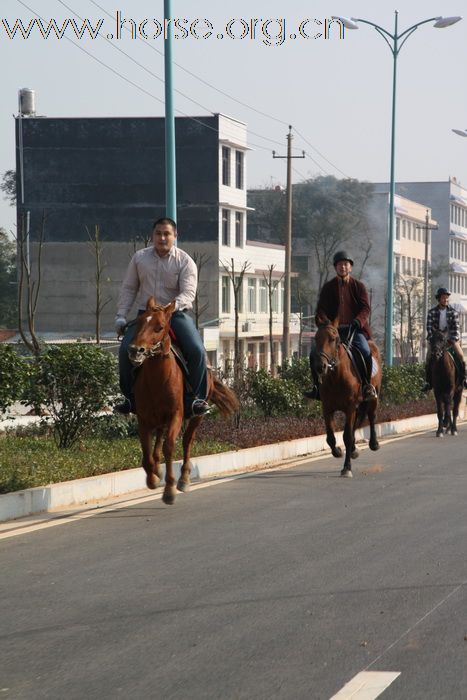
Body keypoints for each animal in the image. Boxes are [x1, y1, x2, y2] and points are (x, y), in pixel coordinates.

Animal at [130, 296, 239, 504]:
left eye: (159, 327)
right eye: (138, 322)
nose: (135, 350)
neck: (157, 378)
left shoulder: (176, 415)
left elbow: (169, 446)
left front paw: (169, 489)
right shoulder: (143, 419)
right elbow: (146, 452)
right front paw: (153, 478)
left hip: (197, 415)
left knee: (187, 441)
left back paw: (184, 478)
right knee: (158, 441)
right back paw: (157, 469)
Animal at [312, 316, 382, 476]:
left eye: (333, 339)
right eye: (316, 338)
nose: (320, 366)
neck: (336, 377)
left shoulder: (349, 407)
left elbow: (347, 437)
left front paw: (346, 468)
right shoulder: (327, 408)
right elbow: (330, 437)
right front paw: (338, 451)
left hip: (374, 394)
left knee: (372, 416)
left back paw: (373, 443)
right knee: (356, 423)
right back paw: (354, 450)